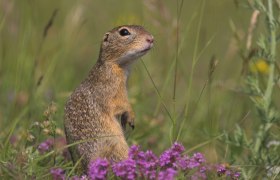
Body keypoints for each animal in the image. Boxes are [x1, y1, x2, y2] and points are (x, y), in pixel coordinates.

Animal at [64, 24, 154, 169]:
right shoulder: (111, 89)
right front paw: (131, 116)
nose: (151, 38)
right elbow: (120, 104)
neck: (117, 65)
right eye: (124, 32)